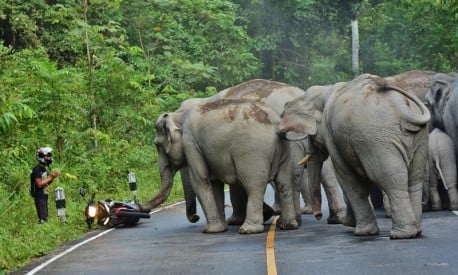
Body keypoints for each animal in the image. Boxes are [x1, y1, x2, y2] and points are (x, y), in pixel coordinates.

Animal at [143, 98, 300, 234]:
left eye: (157, 145)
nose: (140, 205)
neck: (179, 115)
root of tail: (276, 124)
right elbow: (214, 184)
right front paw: (220, 229)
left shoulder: (190, 143)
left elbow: (200, 180)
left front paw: (210, 231)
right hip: (285, 148)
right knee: (283, 182)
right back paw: (288, 225)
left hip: (252, 152)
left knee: (254, 186)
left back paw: (248, 230)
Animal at [278, 73, 432, 239]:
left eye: (311, 136)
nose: (318, 216)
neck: (325, 90)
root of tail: (402, 106)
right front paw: (351, 224)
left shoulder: (333, 137)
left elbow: (347, 178)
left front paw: (361, 231)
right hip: (418, 138)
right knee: (414, 179)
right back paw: (416, 231)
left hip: (376, 139)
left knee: (390, 179)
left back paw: (401, 234)